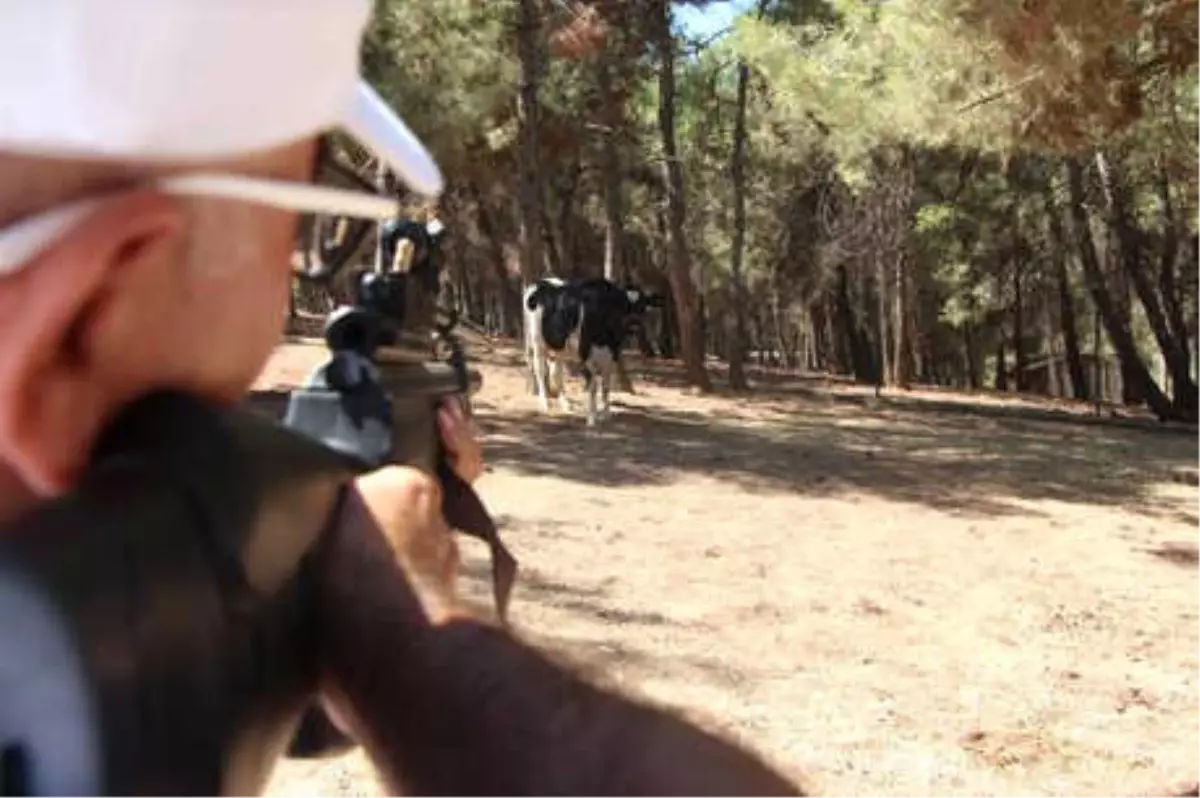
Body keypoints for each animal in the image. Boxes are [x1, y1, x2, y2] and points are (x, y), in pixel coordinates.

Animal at [525, 273, 667, 422]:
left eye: (642, 306)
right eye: (622, 305)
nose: (634, 325)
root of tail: (541, 282)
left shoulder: (613, 355)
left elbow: (606, 386)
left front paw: (606, 414)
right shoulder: (585, 353)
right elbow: (593, 386)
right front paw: (592, 418)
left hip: (558, 347)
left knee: (556, 374)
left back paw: (566, 405)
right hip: (537, 342)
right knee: (540, 370)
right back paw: (544, 404)